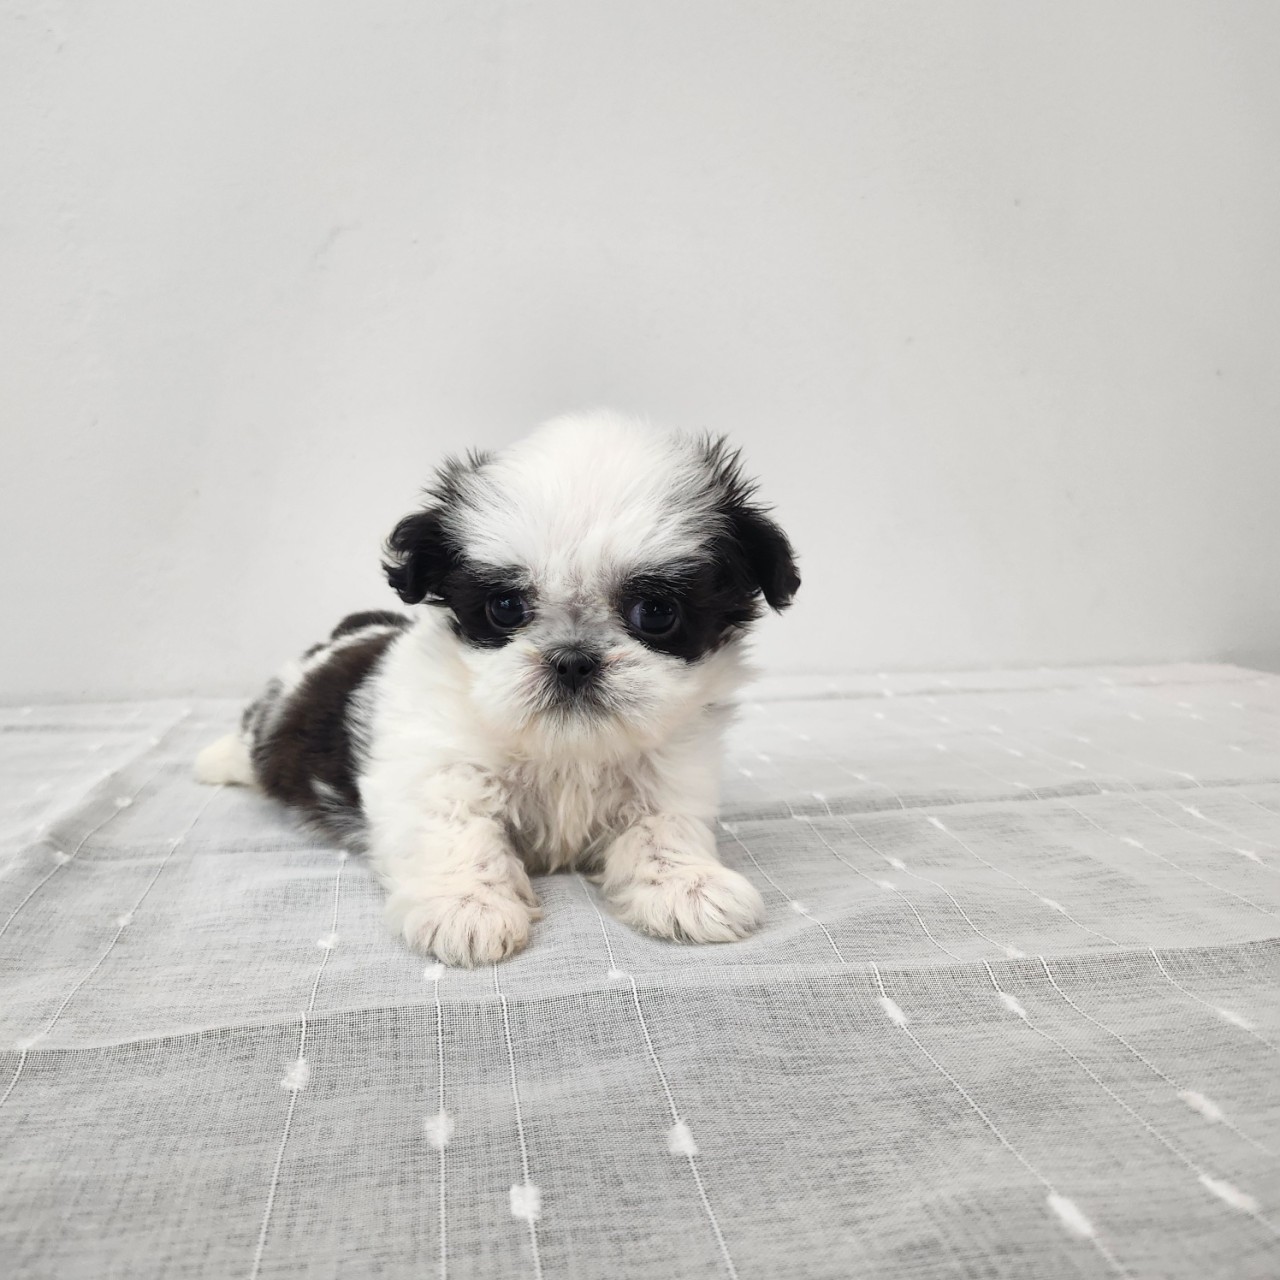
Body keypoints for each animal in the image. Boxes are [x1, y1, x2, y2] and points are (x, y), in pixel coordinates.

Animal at [195, 411, 799, 965]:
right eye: (505, 607)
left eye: (655, 613)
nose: (573, 660)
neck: (567, 751)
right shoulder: (435, 764)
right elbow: (459, 829)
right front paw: (466, 906)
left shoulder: (671, 772)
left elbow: (663, 828)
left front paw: (687, 884)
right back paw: (214, 761)